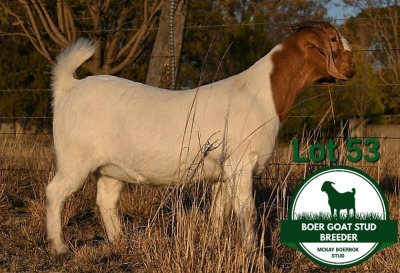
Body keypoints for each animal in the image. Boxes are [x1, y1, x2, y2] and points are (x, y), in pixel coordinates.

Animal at [46, 20, 356, 253]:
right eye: (332, 39)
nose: (352, 67)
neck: (263, 93)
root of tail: (69, 87)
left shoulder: (223, 173)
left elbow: (219, 212)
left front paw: (215, 243)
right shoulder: (241, 164)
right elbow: (248, 212)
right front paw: (251, 252)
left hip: (111, 168)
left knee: (106, 200)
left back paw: (119, 242)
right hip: (75, 157)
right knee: (55, 192)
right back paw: (59, 246)